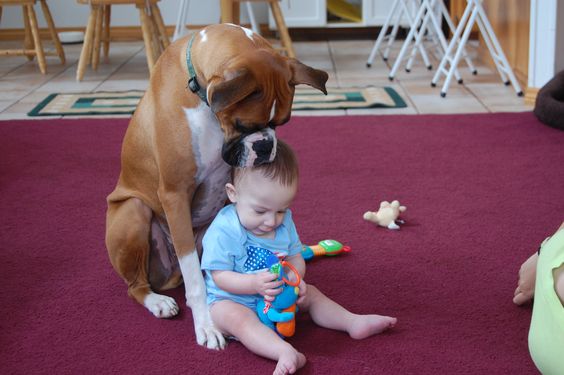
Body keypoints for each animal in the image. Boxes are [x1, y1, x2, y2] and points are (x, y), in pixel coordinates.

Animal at [104, 24, 330, 350]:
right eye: (244, 125)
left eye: (282, 122)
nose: (266, 146)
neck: (200, 95)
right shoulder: (175, 194)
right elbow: (198, 283)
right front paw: (207, 325)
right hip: (133, 212)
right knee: (137, 285)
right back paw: (157, 301)